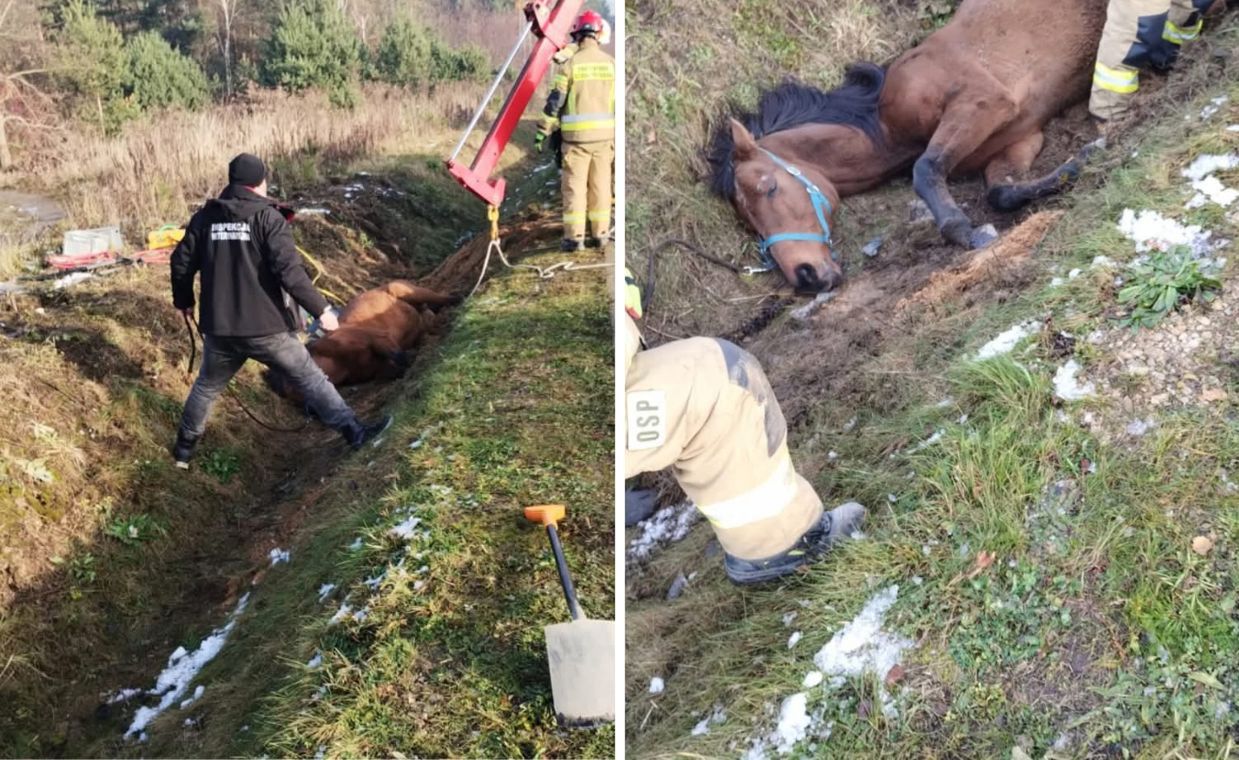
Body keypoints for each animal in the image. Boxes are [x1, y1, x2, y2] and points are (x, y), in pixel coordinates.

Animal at [268, 280, 458, 396]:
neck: (338, 358)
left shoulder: (378, 339)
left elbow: (396, 355)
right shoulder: (379, 368)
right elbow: (396, 366)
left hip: (410, 292)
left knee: (443, 298)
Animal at [708, 0, 1115, 293]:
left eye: (769, 187)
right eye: (748, 222)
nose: (804, 277)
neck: (887, 127)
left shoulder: (983, 101)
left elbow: (926, 169)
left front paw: (962, 229)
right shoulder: (1020, 137)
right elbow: (1004, 191)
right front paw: (1085, 157)